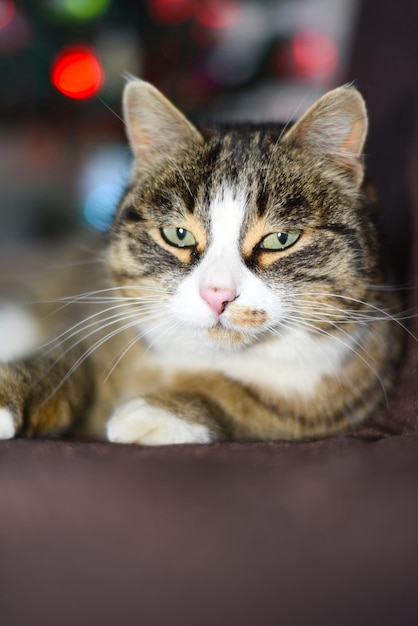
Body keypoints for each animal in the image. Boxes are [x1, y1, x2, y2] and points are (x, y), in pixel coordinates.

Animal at [0, 78, 404, 444]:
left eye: (280, 239)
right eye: (178, 234)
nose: (217, 295)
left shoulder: (343, 390)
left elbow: (251, 404)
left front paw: (160, 411)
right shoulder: (93, 325)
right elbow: (58, 361)